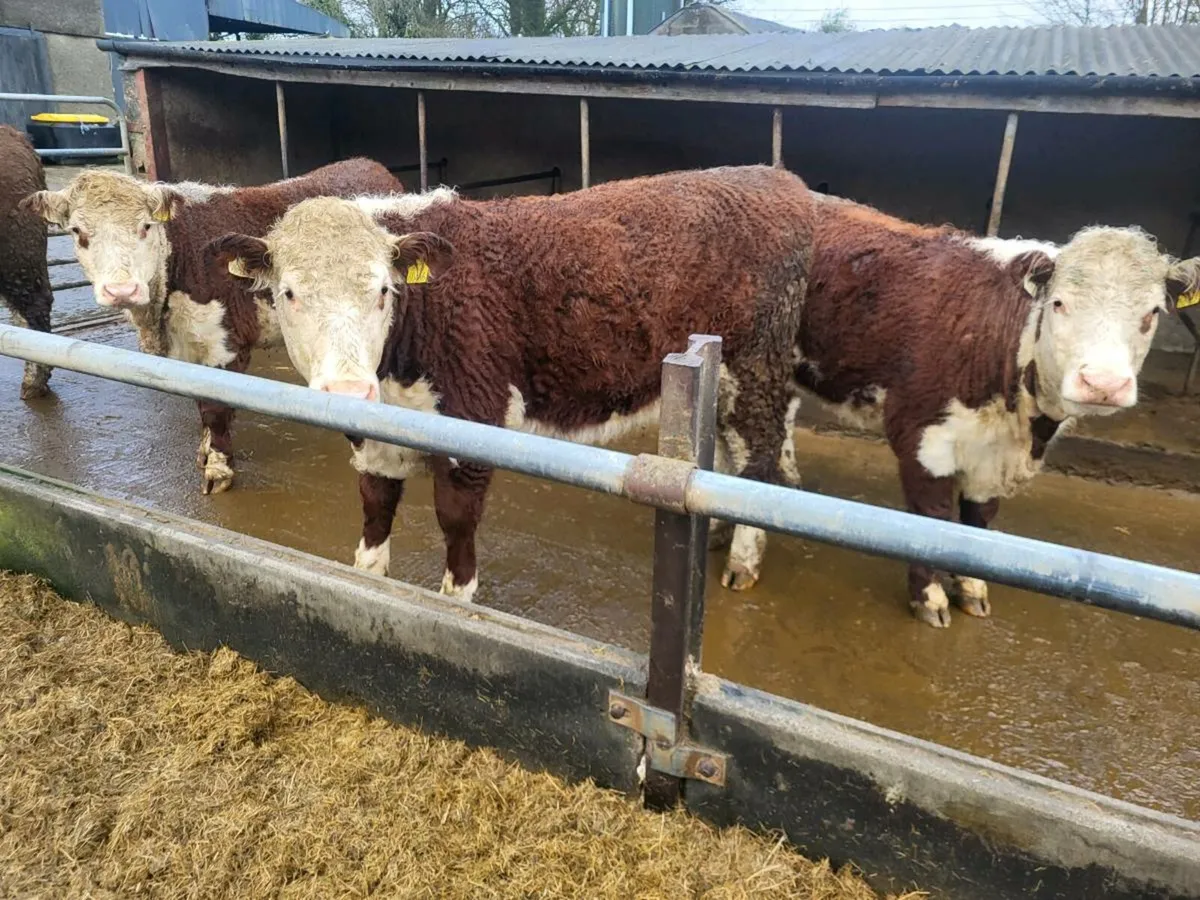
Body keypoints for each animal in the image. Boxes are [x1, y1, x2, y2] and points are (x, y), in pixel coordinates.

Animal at [21, 158, 404, 494]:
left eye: (145, 226)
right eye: (78, 232)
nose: (121, 290)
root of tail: (365, 163)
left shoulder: (224, 344)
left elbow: (216, 408)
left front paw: (218, 470)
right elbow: (202, 401)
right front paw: (205, 451)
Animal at [208, 166, 815, 601]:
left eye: (383, 290)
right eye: (289, 292)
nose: (348, 395)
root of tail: (777, 179)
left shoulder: (474, 422)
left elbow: (456, 533)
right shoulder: (375, 446)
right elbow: (372, 527)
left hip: (754, 368)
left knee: (759, 457)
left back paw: (741, 559)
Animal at [795, 193, 1200, 627]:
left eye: (1152, 313)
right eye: (1058, 304)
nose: (1103, 384)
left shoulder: (993, 458)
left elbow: (979, 518)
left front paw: (972, 588)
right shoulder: (922, 434)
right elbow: (931, 518)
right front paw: (930, 598)